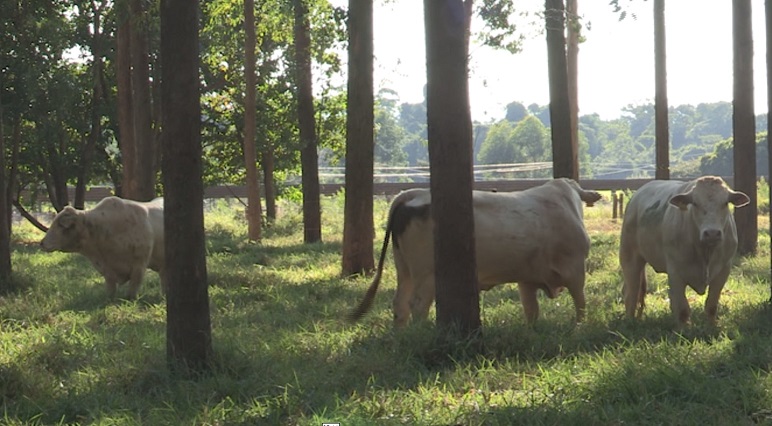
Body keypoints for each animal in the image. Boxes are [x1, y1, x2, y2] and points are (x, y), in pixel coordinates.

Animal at [346, 178, 600, 328]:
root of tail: (412, 194)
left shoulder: (526, 278)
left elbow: (531, 311)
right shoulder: (575, 271)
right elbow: (581, 304)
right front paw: (580, 328)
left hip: (405, 270)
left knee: (400, 305)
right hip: (427, 275)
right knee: (417, 305)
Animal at [620, 176, 752, 326]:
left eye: (725, 203)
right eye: (695, 203)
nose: (712, 233)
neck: (705, 253)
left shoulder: (723, 271)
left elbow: (711, 305)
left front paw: (711, 325)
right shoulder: (675, 272)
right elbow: (682, 309)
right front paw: (684, 328)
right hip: (629, 257)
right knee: (631, 293)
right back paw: (630, 321)